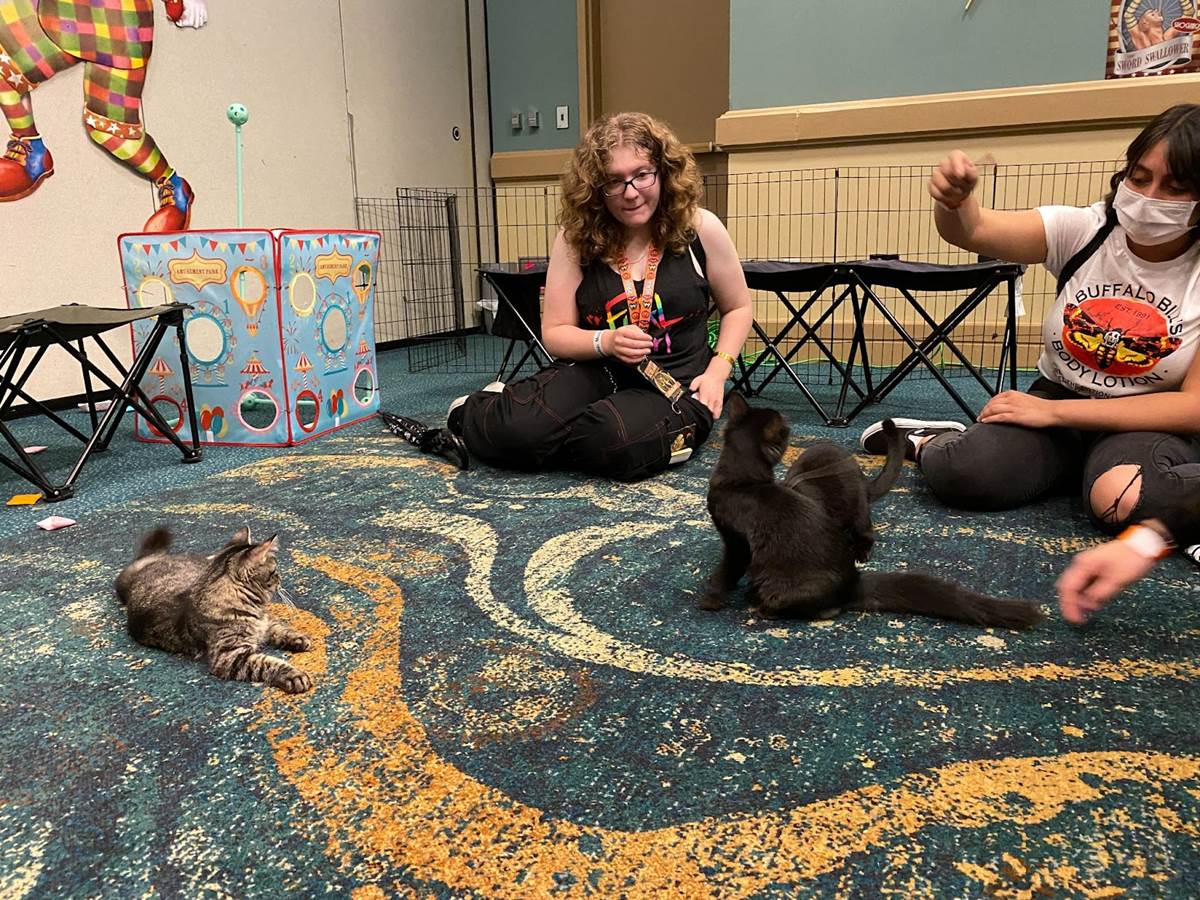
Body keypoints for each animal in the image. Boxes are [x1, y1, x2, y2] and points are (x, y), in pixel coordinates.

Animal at [115, 526, 314, 692]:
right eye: (274, 572)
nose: (281, 579)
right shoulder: (231, 657)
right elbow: (268, 663)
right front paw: (293, 675)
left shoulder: (265, 622)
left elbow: (279, 628)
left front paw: (298, 639)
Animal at [702, 393, 1043, 629]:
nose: (787, 425)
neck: (742, 482)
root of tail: (854, 583)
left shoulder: (737, 542)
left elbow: (727, 570)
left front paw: (711, 597)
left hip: (794, 579)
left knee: (825, 608)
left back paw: (762, 608)